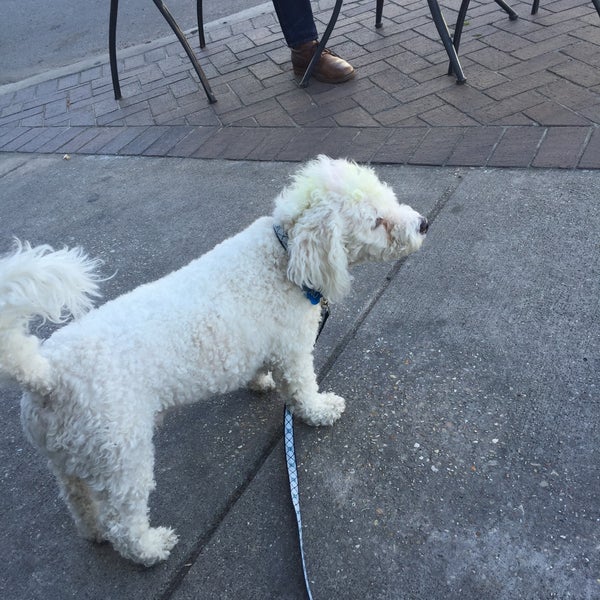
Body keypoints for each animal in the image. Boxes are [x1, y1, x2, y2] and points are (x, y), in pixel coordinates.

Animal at [0, 156, 426, 568]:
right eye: (376, 221)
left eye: (388, 195)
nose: (422, 224)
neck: (284, 254)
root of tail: (46, 374)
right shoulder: (292, 351)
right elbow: (303, 391)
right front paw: (321, 410)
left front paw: (259, 382)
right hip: (122, 456)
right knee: (123, 521)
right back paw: (150, 549)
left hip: (71, 457)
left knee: (79, 502)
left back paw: (93, 533)